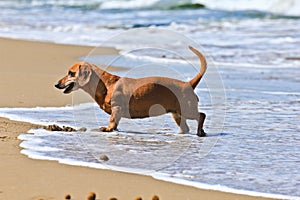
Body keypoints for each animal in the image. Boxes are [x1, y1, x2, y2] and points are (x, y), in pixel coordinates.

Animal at [55, 46, 207, 137]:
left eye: (71, 73)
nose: (56, 84)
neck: (106, 84)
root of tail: (188, 84)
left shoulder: (116, 108)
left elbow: (112, 120)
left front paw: (108, 129)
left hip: (187, 110)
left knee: (201, 115)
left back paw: (200, 131)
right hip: (177, 113)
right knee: (185, 127)